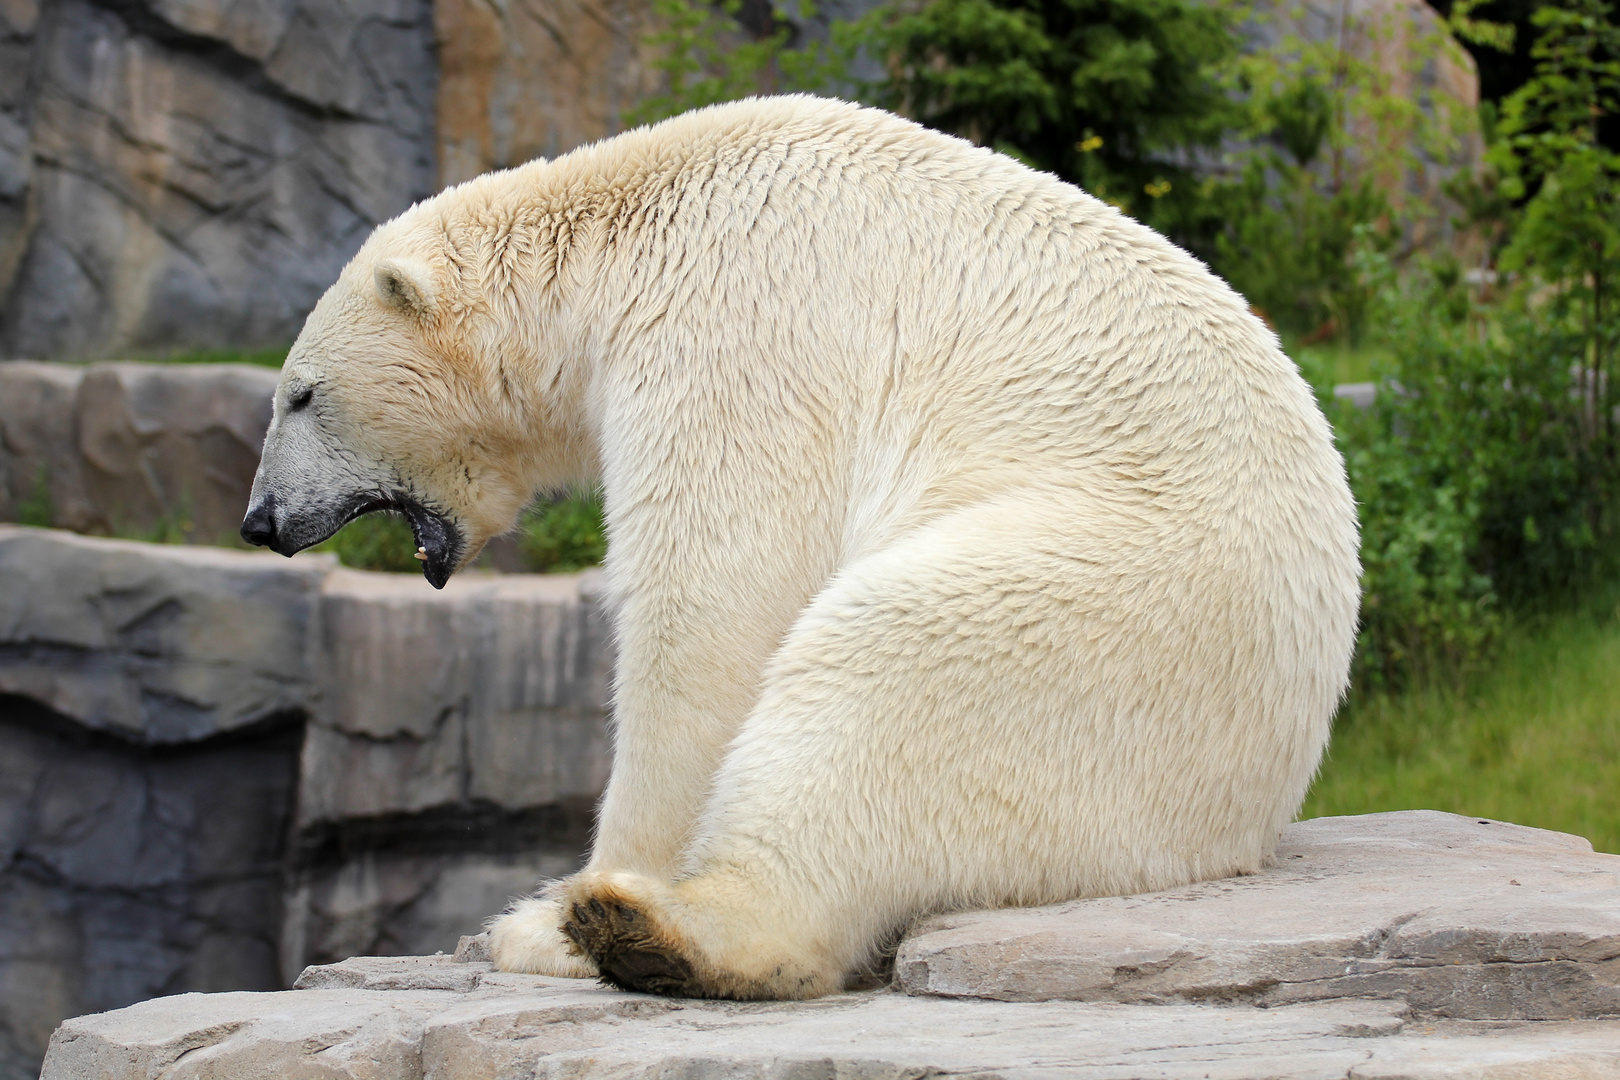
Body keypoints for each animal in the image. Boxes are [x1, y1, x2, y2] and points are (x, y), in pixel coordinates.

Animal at [236, 95, 1354, 1003]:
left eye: (299, 395)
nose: (260, 522)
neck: (624, 223)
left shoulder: (728, 331)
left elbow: (712, 609)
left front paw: (559, 910)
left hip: (1127, 610)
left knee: (893, 658)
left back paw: (648, 929)